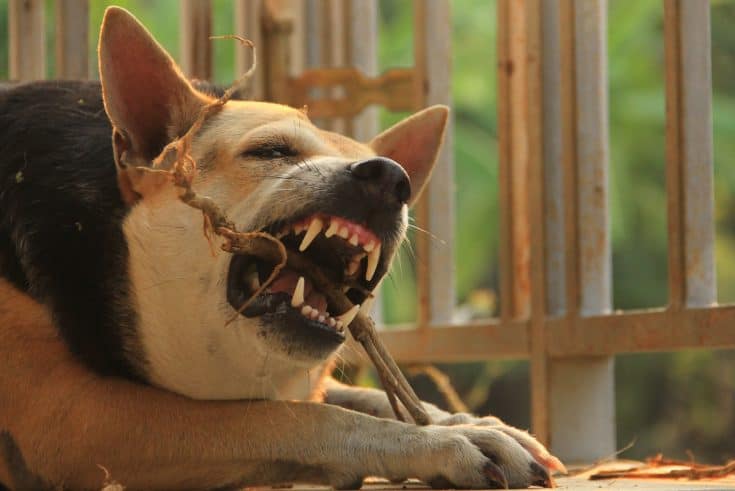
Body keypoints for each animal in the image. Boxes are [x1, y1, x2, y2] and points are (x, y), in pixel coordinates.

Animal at [0, 7, 564, 491]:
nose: (390, 178)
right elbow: (300, 417)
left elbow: (358, 396)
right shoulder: (77, 417)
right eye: (271, 151)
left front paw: (472, 422)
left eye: (398, 177)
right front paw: (440, 442)